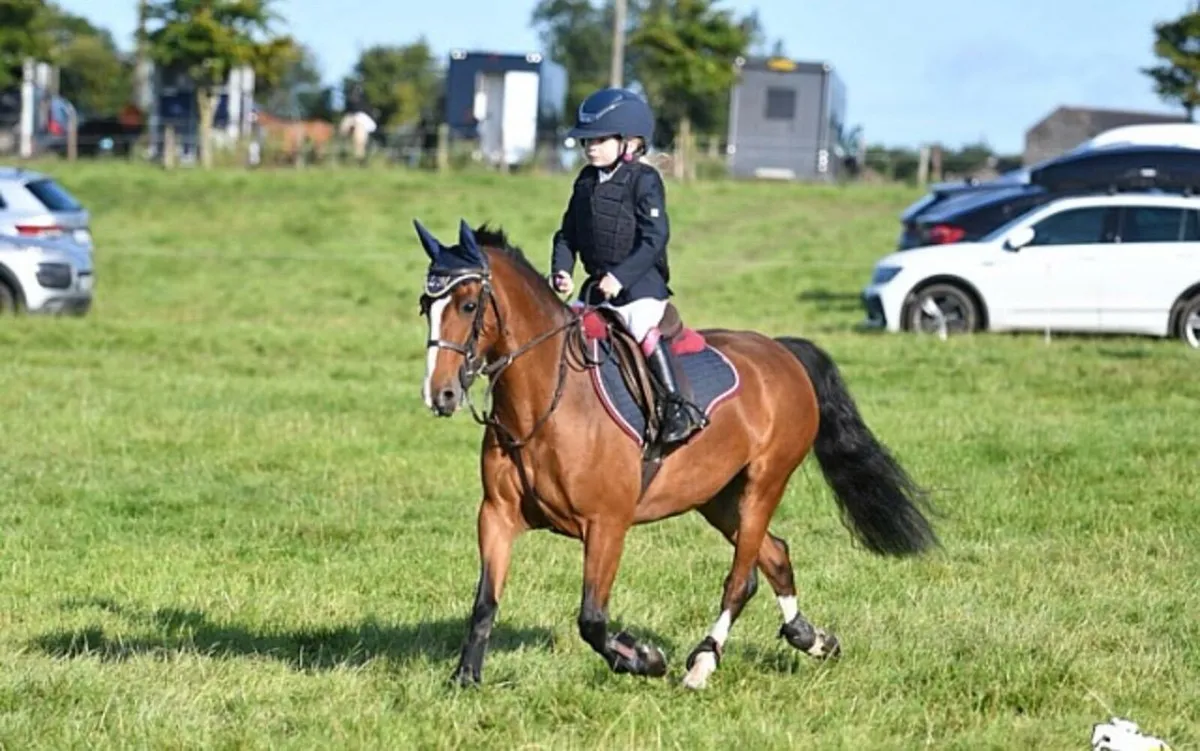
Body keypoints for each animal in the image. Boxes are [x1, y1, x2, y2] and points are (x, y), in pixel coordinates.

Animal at [414, 219, 939, 690]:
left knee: (741, 578)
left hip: (765, 482)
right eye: (426, 306)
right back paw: (812, 640)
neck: (544, 405)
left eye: (467, 304)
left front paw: (644, 659)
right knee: (774, 557)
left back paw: (702, 664)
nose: (440, 395)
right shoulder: (497, 515)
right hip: (718, 497)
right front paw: (465, 679)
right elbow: (485, 601)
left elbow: (592, 619)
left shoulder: (607, 524)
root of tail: (781, 351)